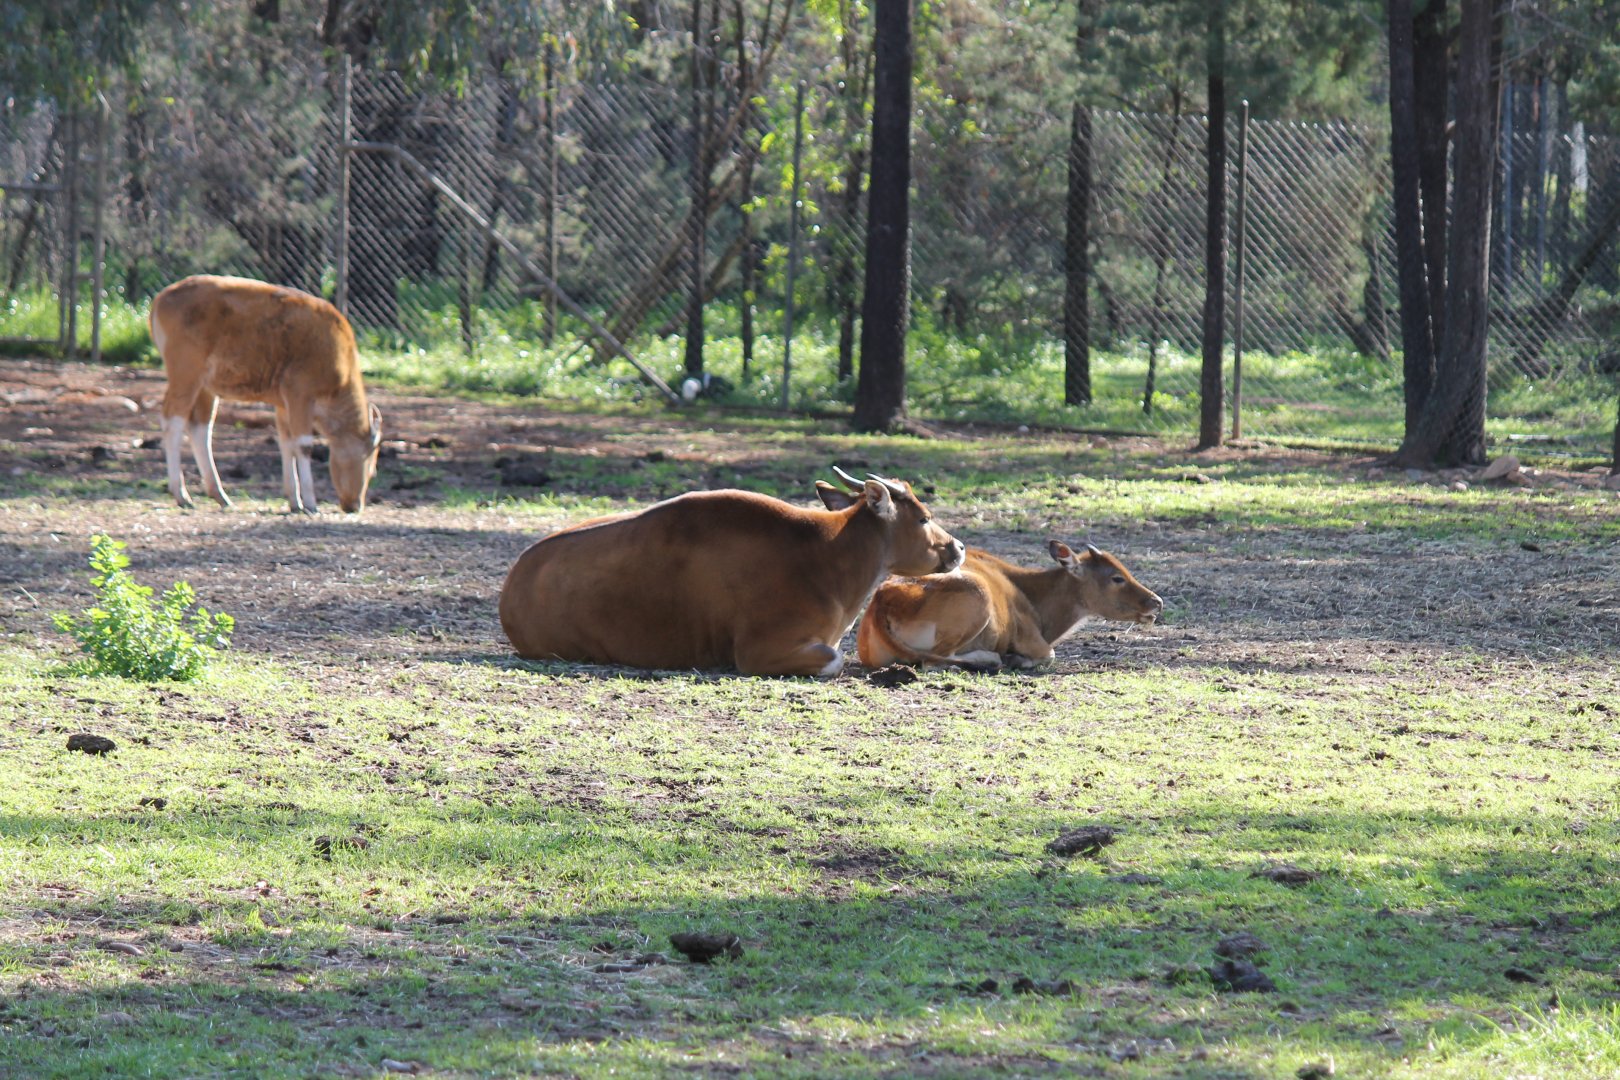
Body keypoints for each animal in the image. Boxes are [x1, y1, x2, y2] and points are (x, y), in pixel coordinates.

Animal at [149, 275, 382, 514]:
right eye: (372, 470)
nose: (355, 505)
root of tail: (161, 298)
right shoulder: (300, 395)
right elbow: (303, 445)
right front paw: (309, 502)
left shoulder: (283, 405)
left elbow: (286, 444)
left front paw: (294, 501)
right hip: (186, 375)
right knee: (173, 422)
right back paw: (181, 494)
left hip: (206, 386)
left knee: (200, 428)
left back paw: (220, 495)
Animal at [498, 468, 965, 676]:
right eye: (923, 517)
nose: (958, 547)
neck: (823, 557)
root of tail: (513, 581)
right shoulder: (761, 652)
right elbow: (833, 661)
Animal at [855, 540, 1163, 672]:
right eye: (1117, 577)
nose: (1156, 602)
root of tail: (883, 604)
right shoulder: (1032, 639)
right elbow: (1049, 655)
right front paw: (1015, 659)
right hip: (976, 598)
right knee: (934, 661)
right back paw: (993, 659)